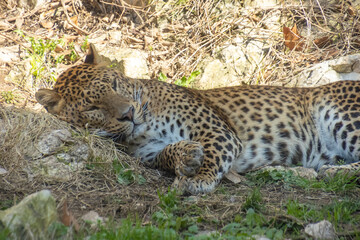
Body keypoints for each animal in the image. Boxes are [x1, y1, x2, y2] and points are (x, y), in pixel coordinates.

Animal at [35, 44, 360, 195]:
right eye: (92, 107)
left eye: (114, 84)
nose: (128, 114)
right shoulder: (147, 154)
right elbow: (167, 154)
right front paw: (187, 156)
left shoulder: (216, 130)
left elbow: (214, 152)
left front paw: (199, 179)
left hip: (341, 114)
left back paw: (334, 172)